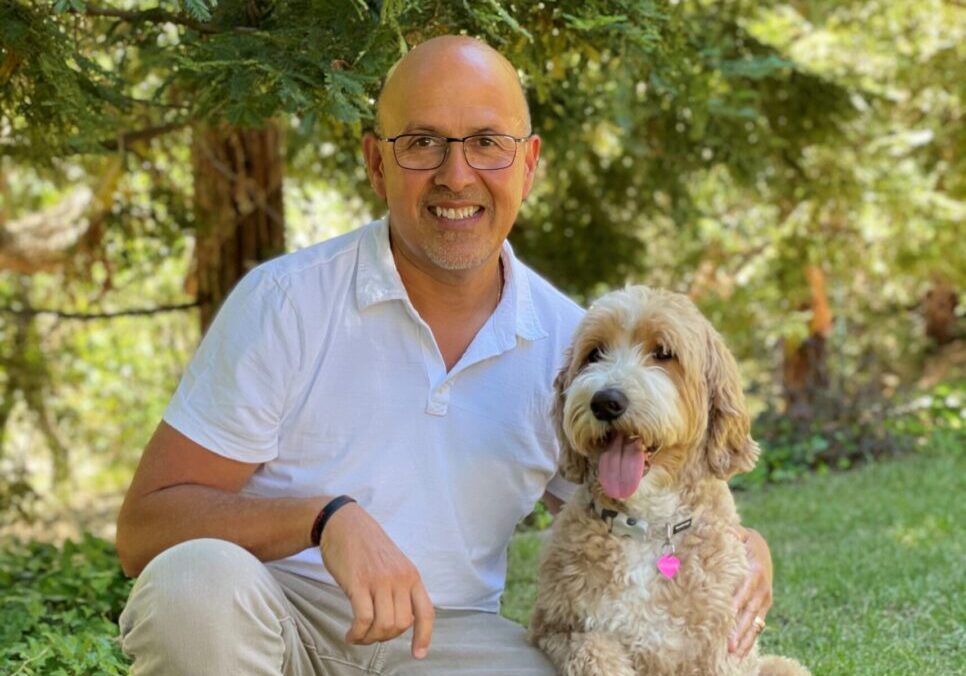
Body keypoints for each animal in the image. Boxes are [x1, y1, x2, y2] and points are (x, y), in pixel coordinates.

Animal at [528, 288, 808, 676]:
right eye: (594, 354)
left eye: (663, 353)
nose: (606, 401)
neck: (647, 526)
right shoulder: (557, 628)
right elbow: (595, 650)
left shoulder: (721, 651)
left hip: (782, 667)